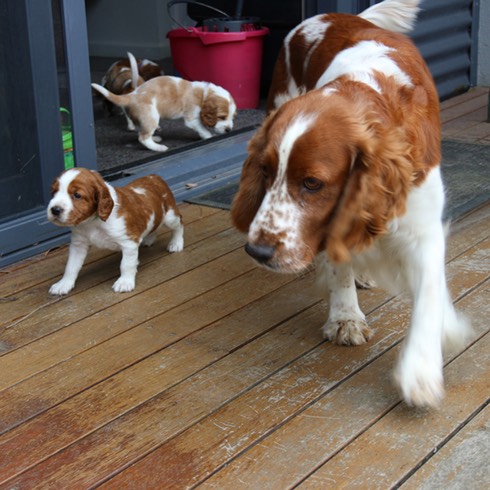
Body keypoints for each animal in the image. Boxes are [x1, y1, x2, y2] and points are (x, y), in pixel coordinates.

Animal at [47, 167, 184, 294]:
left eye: (77, 195)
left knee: (179, 223)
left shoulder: (128, 242)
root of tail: (154, 177)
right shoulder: (78, 244)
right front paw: (63, 284)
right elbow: (71, 266)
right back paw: (148, 239)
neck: (92, 221)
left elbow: (126, 264)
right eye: (54, 192)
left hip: (170, 216)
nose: (55, 210)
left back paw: (176, 243)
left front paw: (125, 282)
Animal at [93, 73, 237, 151]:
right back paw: (158, 147)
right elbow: (202, 128)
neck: (204, 94)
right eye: (222, 117)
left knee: (142, 132)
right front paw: (209, 136)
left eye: (232, 117)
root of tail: (132, 95)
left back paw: (155, 138)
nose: (229, 130)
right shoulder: (192, 118)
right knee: (142, 137)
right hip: (151, 115)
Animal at [232, 0, 468, 406]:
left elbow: (429, 291)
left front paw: (421, 369)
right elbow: (337, 261)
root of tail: (336, 16)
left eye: (312, 183)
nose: (257, 252)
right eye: (265, 171)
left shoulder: (422, 223)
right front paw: (345, 317)